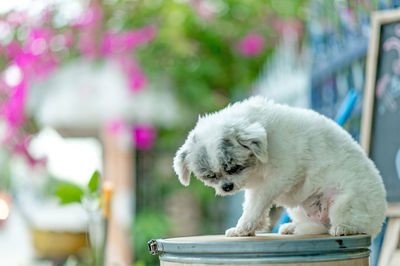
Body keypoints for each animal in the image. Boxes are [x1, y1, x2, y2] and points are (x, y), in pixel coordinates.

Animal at [173, 97, 386, 237]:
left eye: (234, 168)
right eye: (210, 176)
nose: (227, 187)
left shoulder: (279, 177)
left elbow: (257, 204)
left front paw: (244, 227)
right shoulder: (256, 185)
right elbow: (251, 204)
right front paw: (249, 227)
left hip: (344, 202)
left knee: (354, 223)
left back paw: (343, 228)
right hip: (299, 209)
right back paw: (292, 227)